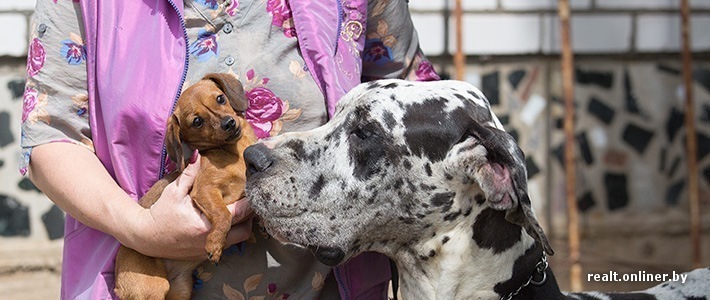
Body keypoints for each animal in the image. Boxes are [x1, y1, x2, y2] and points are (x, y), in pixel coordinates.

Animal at [115, 73, 260, 300]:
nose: (229, 123)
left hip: (181, 289)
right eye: (197, 121)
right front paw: (215, 243)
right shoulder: (204, 190)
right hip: (153, 288)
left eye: (220, 98)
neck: (234, 153)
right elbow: (224, 216)